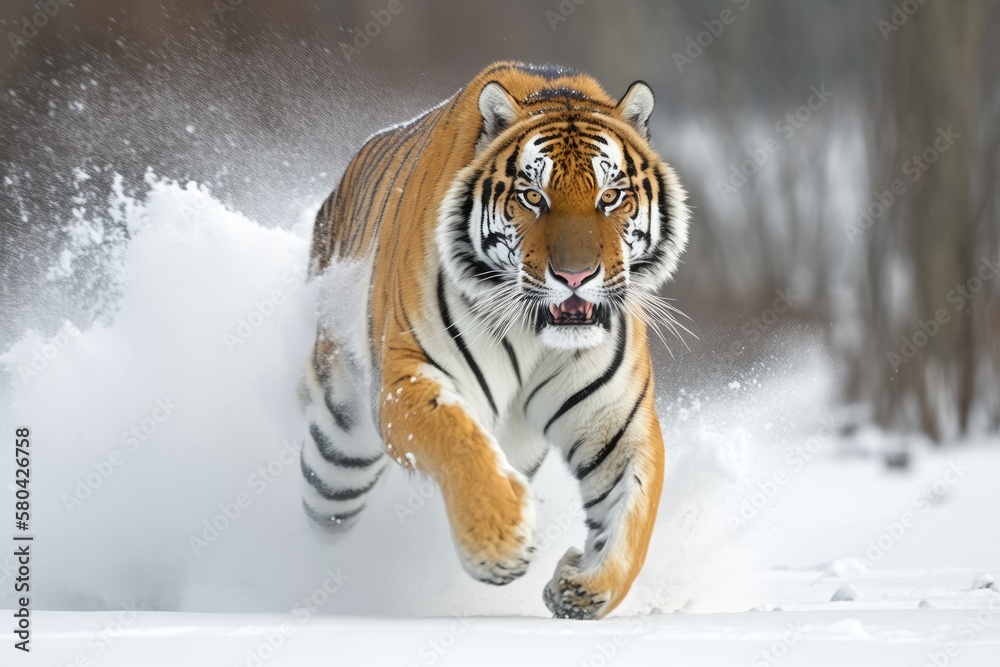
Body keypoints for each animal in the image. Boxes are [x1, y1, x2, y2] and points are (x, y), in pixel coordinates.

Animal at [302, 62, 688, 620]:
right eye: (533, 196)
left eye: (610, 196)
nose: (575, 276)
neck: (537, 334)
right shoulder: (406, 378)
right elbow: (457, 440)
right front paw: (499, 543)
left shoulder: (615, 419)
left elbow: (632, 515)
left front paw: (582, 586)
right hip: (337, 447)